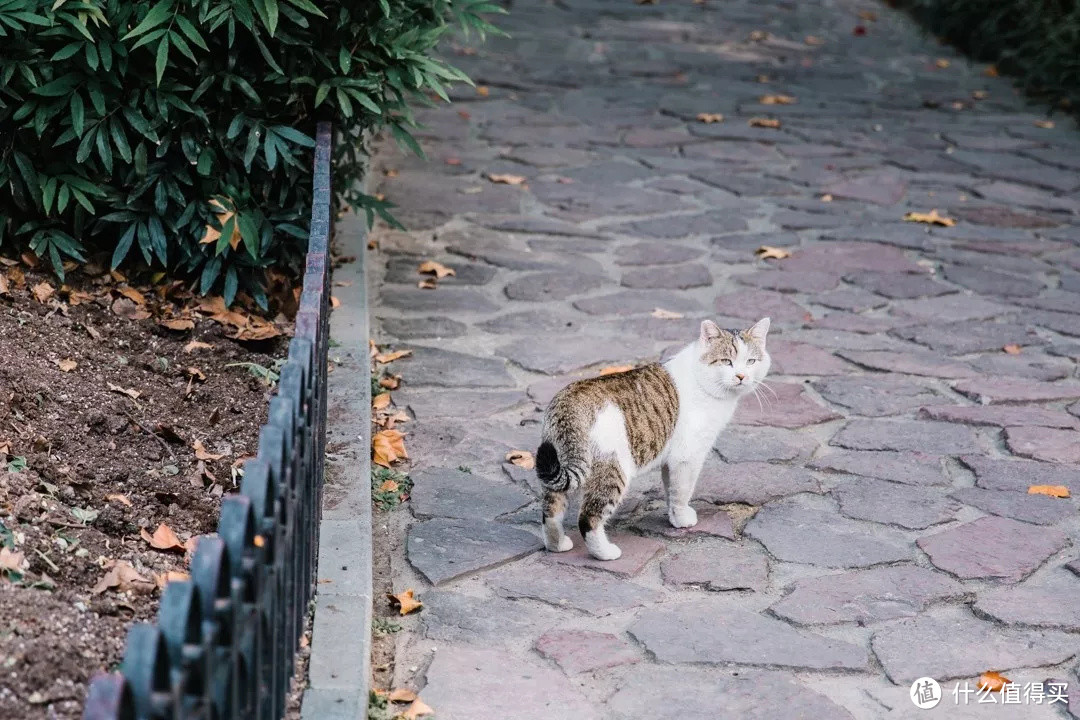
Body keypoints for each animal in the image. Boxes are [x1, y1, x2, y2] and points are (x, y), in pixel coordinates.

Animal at [537, 317, 773, 561]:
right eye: (727, 361)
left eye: (751, 361)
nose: (741, 376)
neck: (703, 380)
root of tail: (568, 404)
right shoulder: (687, 457)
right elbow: (683, 491)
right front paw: (682, 519)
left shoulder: (672, 459)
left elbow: (671, 489)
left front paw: (673, 516)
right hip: (614, 469)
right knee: (588, 518)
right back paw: (606, 553)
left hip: (557, 460)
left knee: (551, 511)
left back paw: (557, 545)